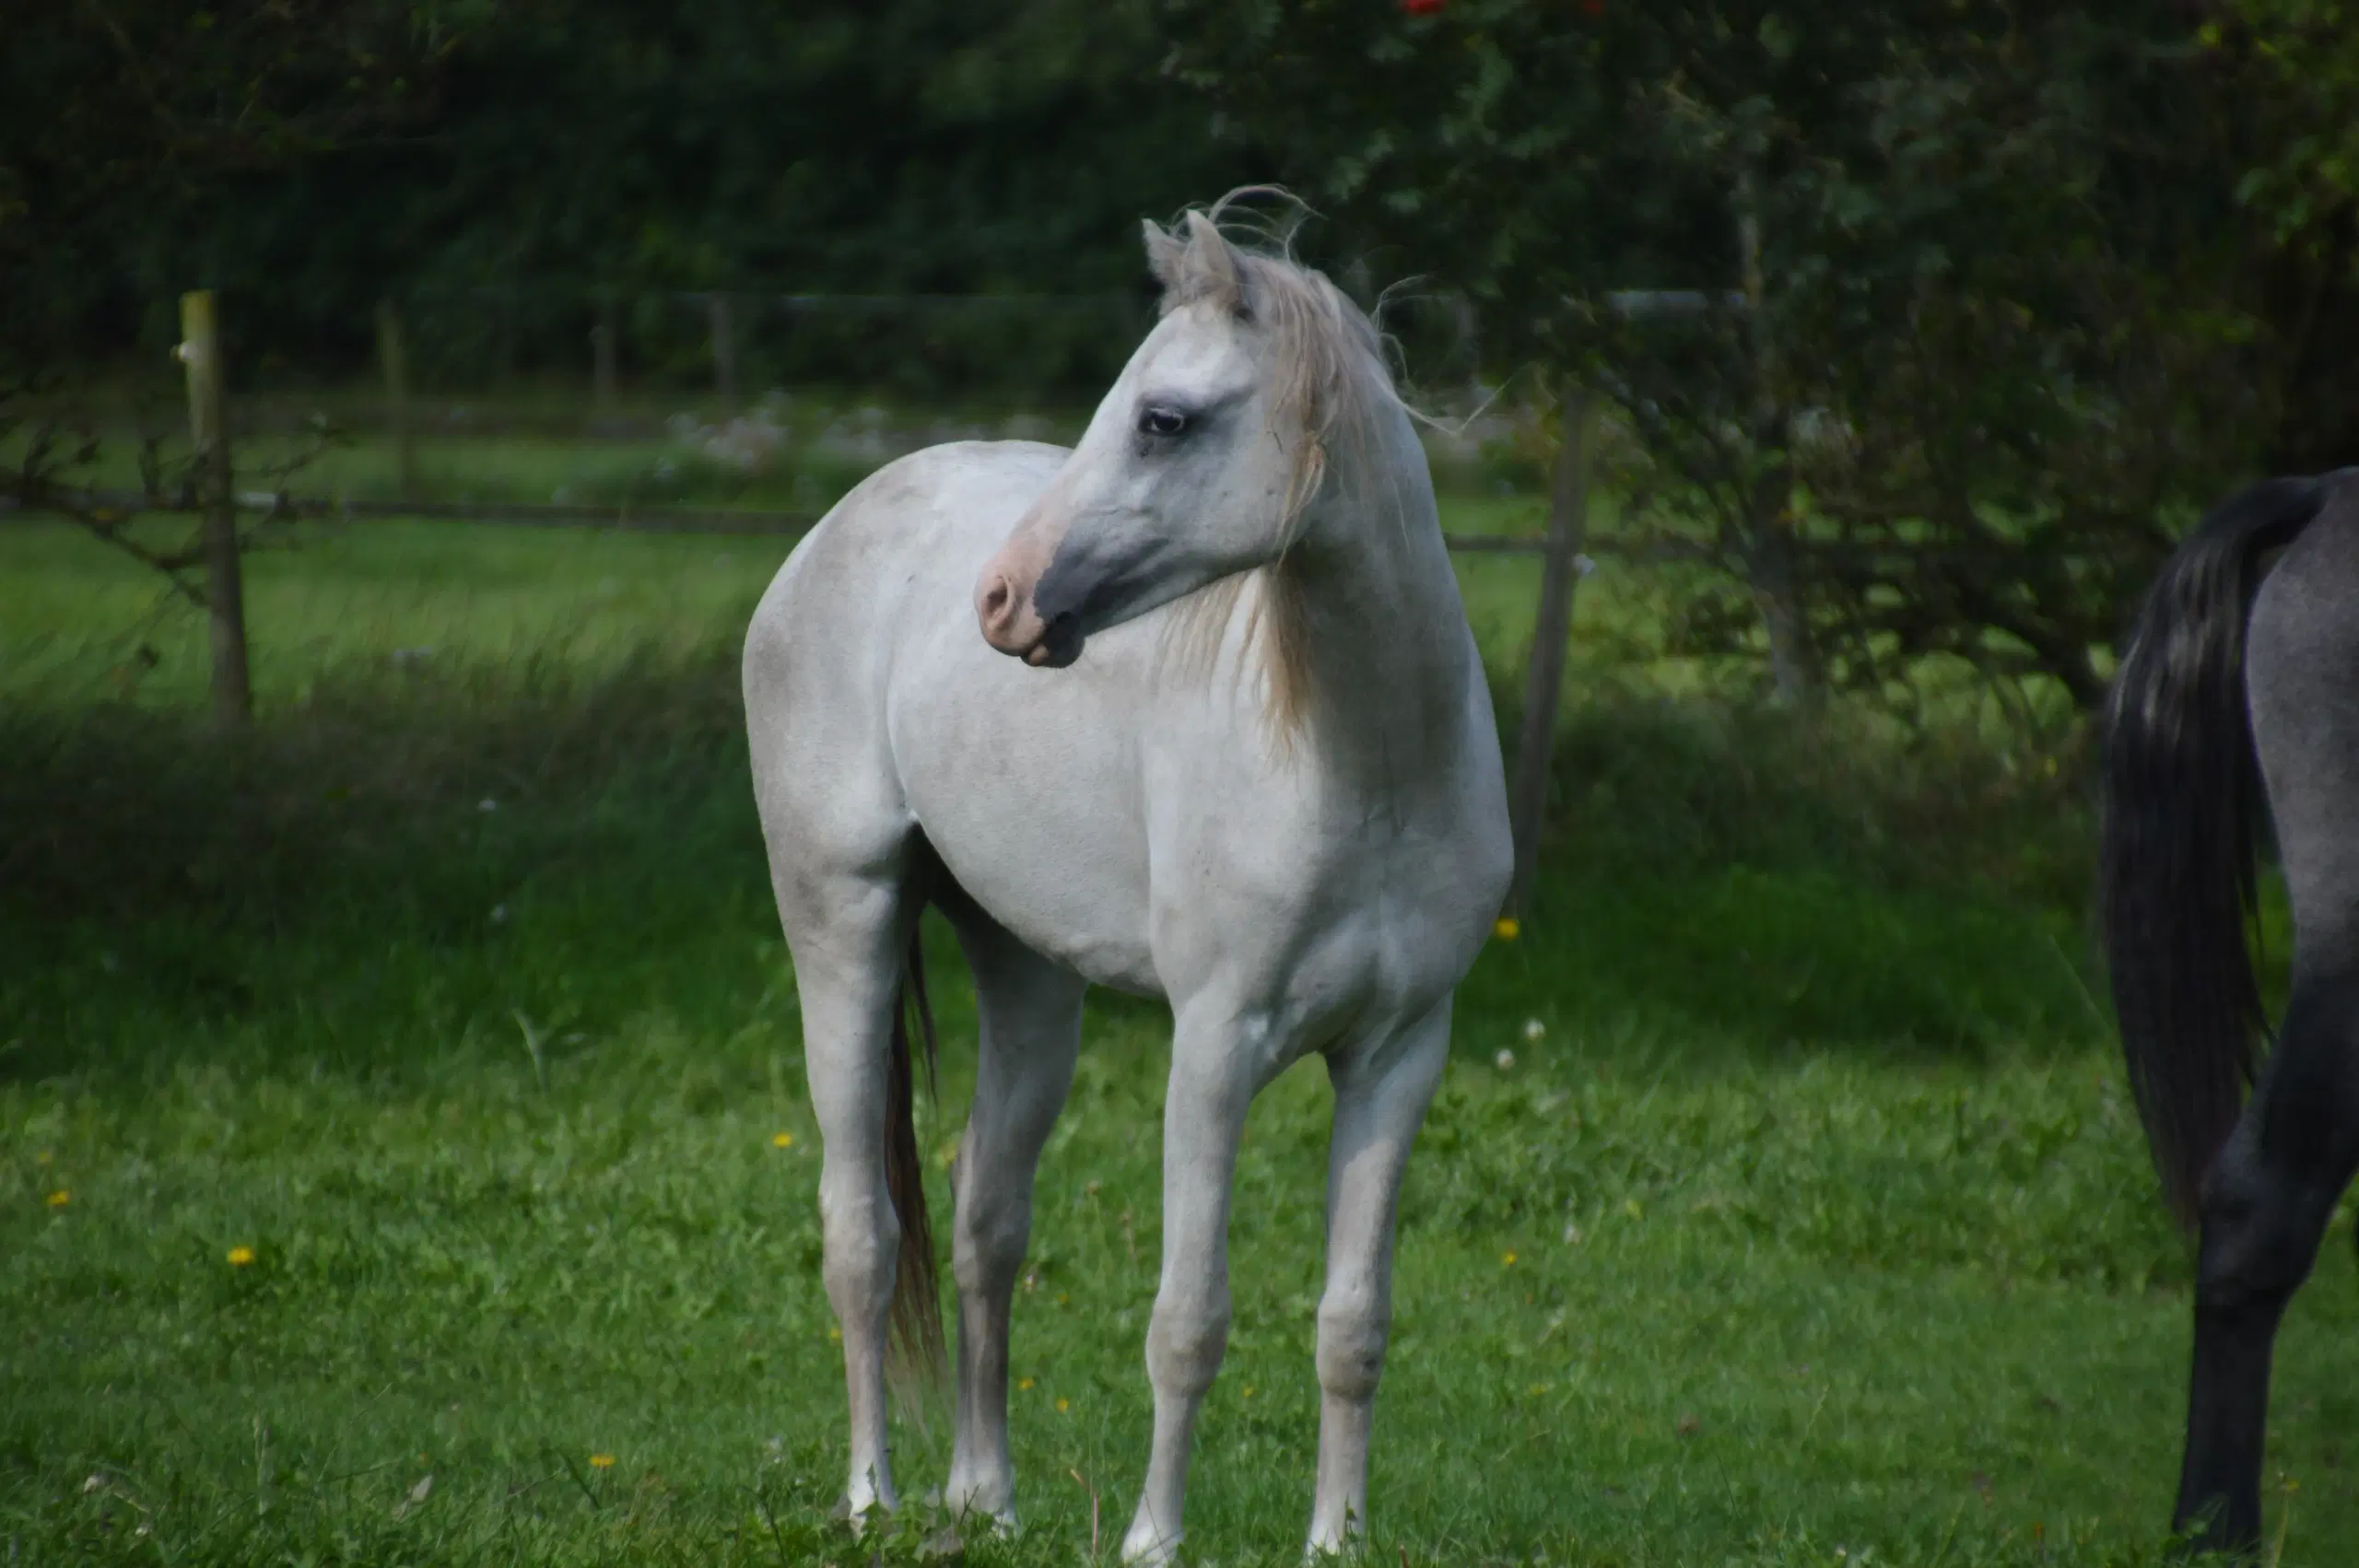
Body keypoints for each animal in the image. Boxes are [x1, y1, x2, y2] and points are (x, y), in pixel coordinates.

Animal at [740, 201, 1509, 1556]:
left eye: (1163, 418)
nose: (1002, 599)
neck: (1367, 766)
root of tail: (835, 529)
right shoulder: (1214, 1048)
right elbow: (1187, 1319)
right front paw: (1156, 1536)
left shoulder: (1400, 1053)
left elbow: (1353, 1323)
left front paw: (1337, 1536)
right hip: (841, 926)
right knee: (862, 1233)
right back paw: (871, 1493)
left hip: (1028, 979)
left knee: (986, 1227)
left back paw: (983, 1496)